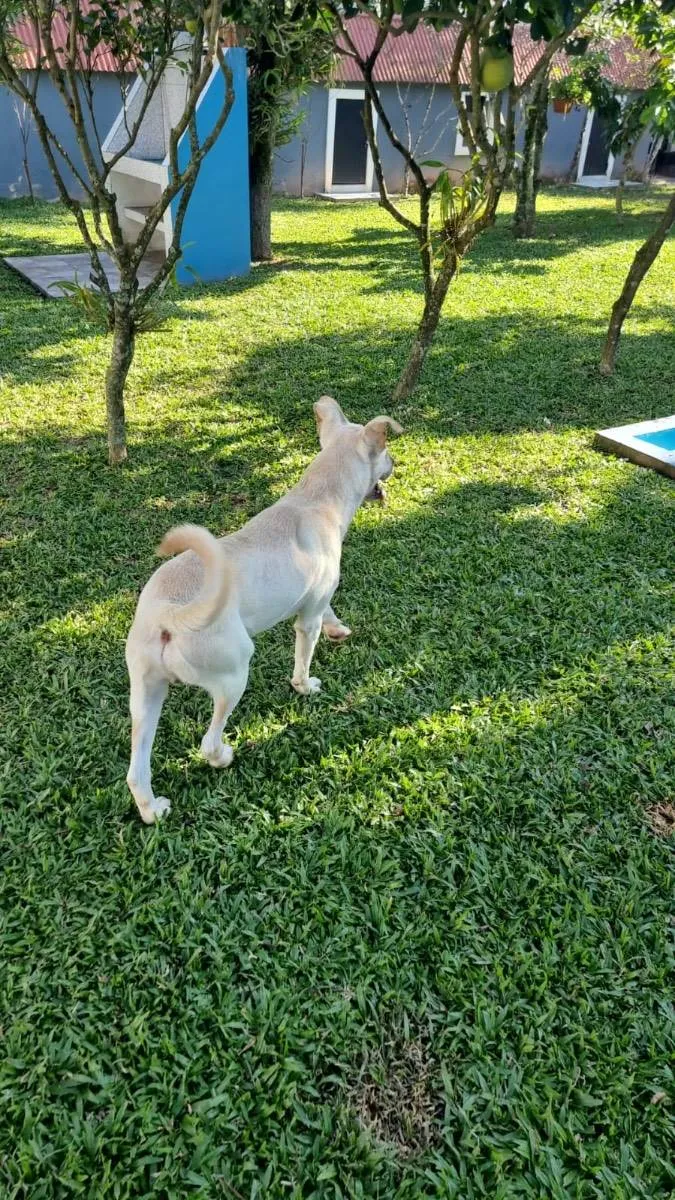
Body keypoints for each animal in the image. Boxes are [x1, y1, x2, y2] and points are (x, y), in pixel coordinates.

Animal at [123, 398, 398, 820]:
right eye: (385, 453)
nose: (395, 463)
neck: (318, 497)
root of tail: (168, 613)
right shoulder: (307, 619)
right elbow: (304, 657)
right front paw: (306, 686)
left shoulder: (320, 597)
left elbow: (330, 610)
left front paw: (338, 629)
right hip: (232, 676)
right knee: (208, 741)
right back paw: (222, 756)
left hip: (145, 694)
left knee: (136, 770)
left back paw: (153, 809)